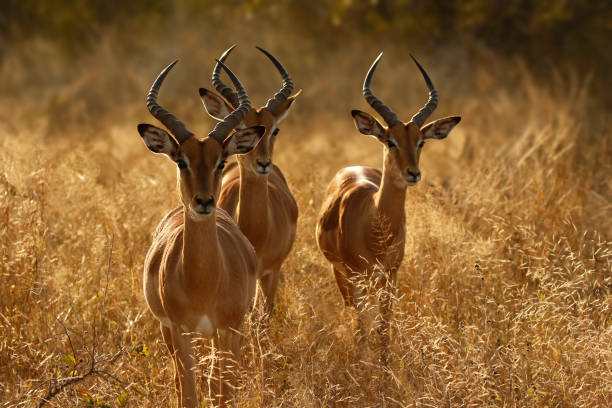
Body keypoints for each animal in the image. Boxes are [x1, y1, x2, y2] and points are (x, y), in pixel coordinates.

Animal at [140, 58, 266, 408]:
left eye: (221, 160)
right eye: (181, 160)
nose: (204, 201)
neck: (203, 283)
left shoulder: (230, 330)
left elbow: (223, 393)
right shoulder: (179, 331)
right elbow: (190, 394)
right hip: (172, 334)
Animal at [316, 52, 460, 362]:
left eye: (421, 142)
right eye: (390, 141)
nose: (413, 173)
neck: (373, 225)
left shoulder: (391, 275)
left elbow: (384, 327)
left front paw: (384, 365)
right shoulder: (356, 276)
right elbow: (362, 325)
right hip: (341, 274)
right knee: (352, 312)